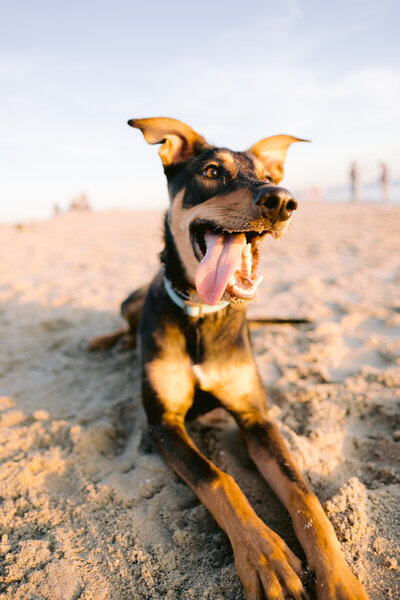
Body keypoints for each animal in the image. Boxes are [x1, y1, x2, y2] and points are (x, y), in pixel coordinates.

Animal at [89, 118, 368, 600]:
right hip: (131, 299)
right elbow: (219, 478)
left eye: (270, 176)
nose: (281, 201)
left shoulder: (257, 417)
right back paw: (111, 342)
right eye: (212, 172)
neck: (203, 315)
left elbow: (303, 493)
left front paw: (339, 578)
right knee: (126, 324)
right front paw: (266, 556)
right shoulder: (163, 424)